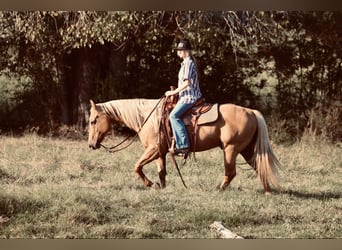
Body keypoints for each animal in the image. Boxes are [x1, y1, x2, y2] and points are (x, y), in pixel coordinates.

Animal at [87, 98, 280, 192]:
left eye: (93, 120)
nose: (91, 145)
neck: (147, 117)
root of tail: (251, 112)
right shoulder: (161, 152)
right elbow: (161, 172)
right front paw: (162, 187)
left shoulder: (153, 149)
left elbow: (137, 166)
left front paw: (150, 184)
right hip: (247, 150)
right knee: (259, 166)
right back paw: (267, 191)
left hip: (231, 149)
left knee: (231, 172)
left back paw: (219, 189)